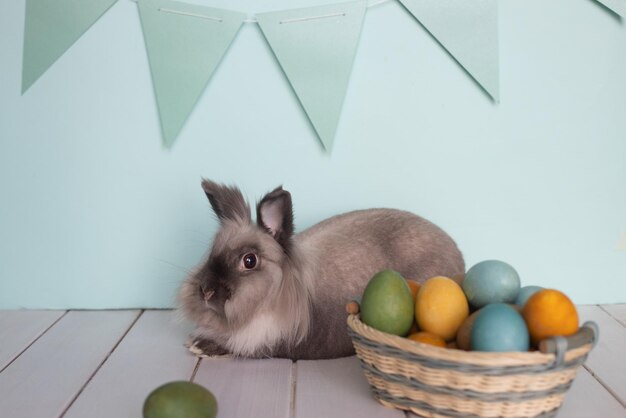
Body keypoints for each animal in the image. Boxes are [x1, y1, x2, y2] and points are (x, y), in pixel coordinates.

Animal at [177, 180, 464, 360]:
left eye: (250, 261)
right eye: (213, 250)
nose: (205, 291)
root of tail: (458, 253)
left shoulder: (267, 340)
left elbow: (239, 345)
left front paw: (200, 345)